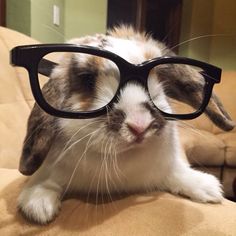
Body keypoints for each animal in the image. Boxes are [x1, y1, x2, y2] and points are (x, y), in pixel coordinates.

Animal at [17, 25, 235, 225]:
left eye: (160, 78)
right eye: (87, 78)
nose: (140, 125)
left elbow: (176, 174)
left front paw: (209, 188)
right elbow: (47, 182)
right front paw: (38, 205)